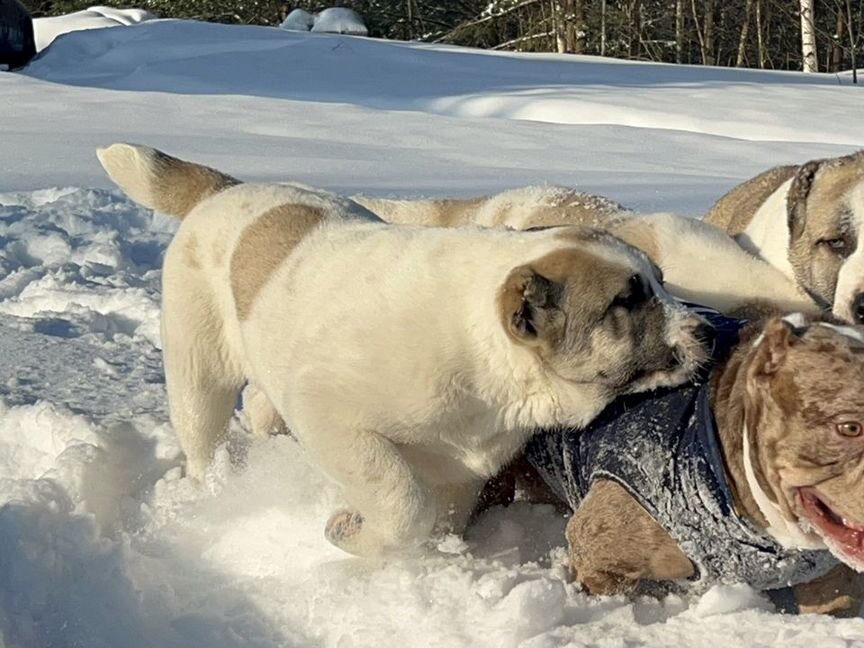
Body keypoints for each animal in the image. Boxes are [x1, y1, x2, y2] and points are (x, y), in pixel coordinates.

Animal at [99, 146, 708, 556]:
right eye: (626, 299)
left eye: (661, 280)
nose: (706, 332)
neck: (485, 351)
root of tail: (226, 189)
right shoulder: (331, 417)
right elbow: (403, 503)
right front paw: (353, 538)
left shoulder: (462, 466)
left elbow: (442, 514)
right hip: (199, 371)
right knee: (204, 434)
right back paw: (215, 488)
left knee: (259, 405)